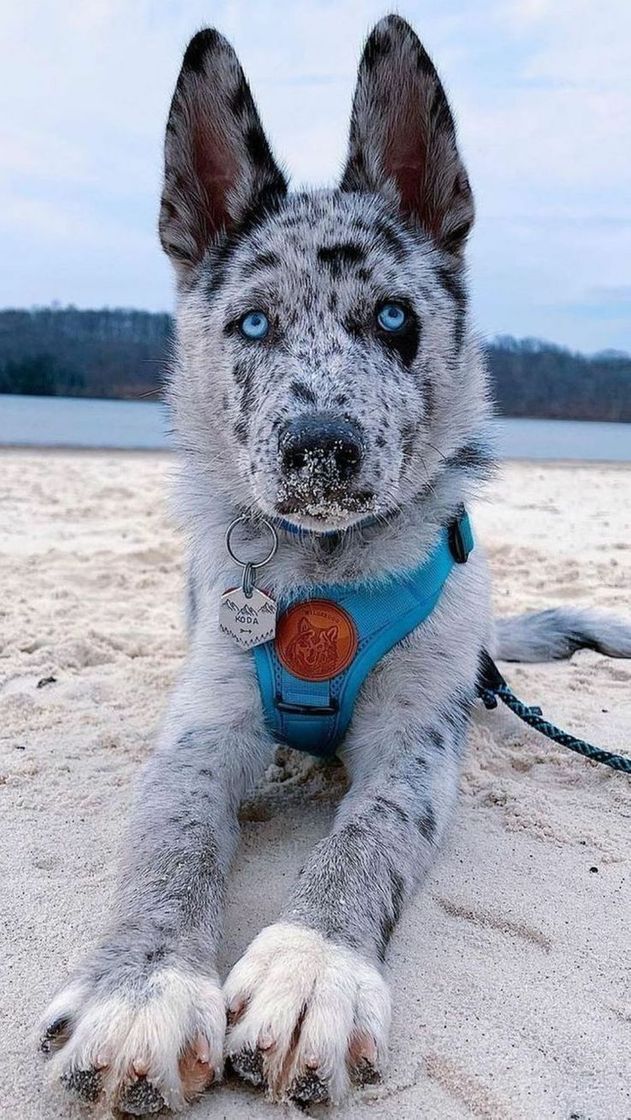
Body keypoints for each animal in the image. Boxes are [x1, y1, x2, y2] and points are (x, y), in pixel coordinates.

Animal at [39, 15, 631, 1111]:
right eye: (252, 322)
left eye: (394, 317)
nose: (322, 446)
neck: (324, 567)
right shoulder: (203, 724)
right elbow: (168, 843)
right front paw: (142, 986)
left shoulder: (418, 740)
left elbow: (371, 835)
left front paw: (313, 968)